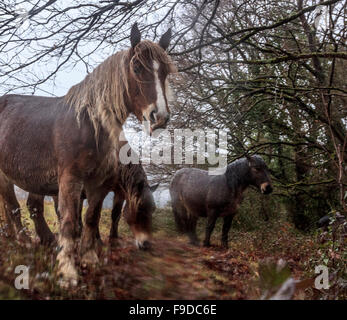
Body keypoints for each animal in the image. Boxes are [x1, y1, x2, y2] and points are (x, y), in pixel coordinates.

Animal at [0, 24, 175, 284]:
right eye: (136, 67)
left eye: (164, 71)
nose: (159, 117)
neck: (88, 125)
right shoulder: (69, 180)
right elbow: (70, 221)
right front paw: (68, 269)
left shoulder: (99, 184)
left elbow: (91, 218)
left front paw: (90, 257)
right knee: (12, 207)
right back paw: (24, 242)